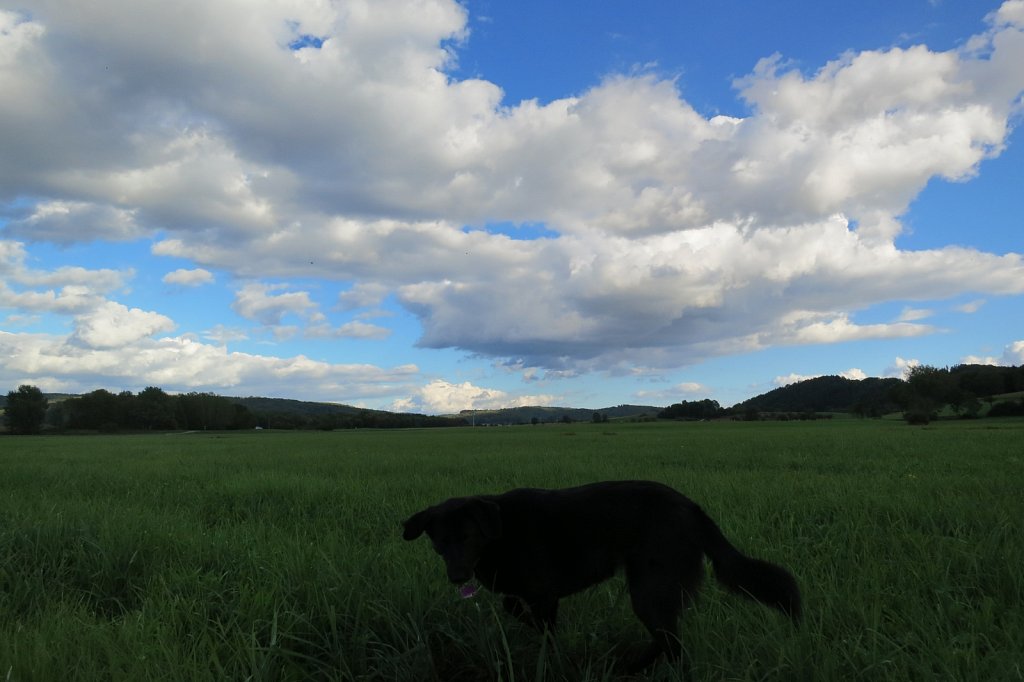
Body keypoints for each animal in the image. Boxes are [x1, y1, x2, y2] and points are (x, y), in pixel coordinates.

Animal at [403, 481, 802, 667]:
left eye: (467, 537)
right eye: (440, 541)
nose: (457, 576)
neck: (500, 532)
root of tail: (692, 508)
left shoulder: (544, 594)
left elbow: (544, 633)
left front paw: (552, 657)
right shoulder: (529, 595)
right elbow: (513, 608)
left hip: (648, 590)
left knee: (672, 644)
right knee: (669, 640)